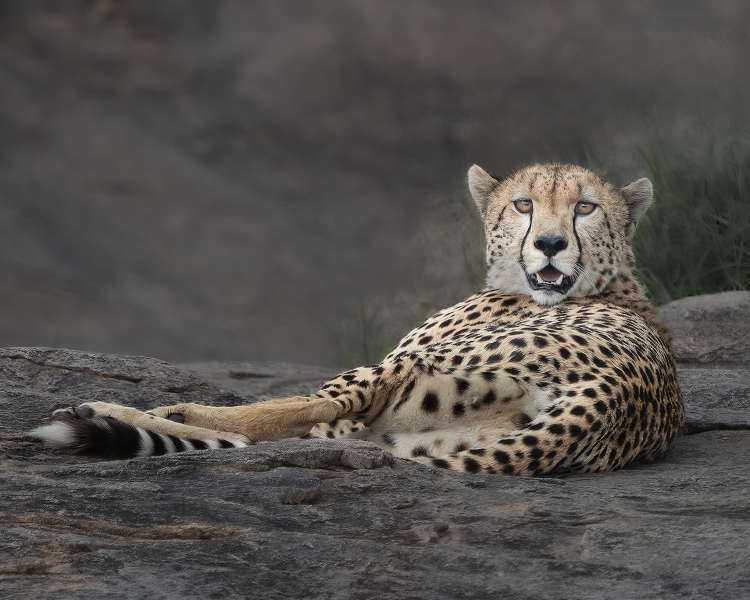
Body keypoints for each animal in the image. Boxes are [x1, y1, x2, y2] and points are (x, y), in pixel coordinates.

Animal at [30, 163, 683, 476]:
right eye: (523, 205)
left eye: (586, 207)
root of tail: (610, 394)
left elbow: (280, 412)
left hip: (398, 372)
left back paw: (112, 410)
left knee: (277, 417)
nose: (550, 244)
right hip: (425, 433)